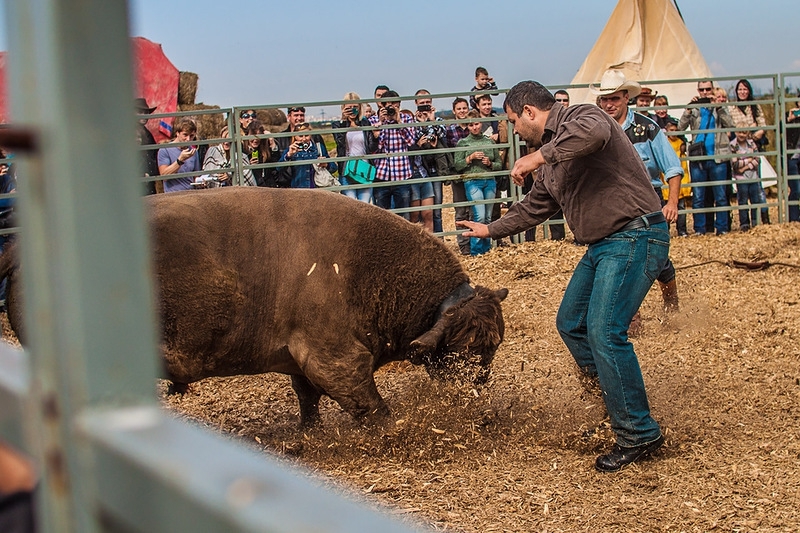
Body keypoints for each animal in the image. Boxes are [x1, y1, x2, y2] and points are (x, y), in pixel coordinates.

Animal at [1, 187, 506, 424]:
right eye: (464, 348)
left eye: (493, 347)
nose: (478, 393)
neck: (363, 265)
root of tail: (20, 246)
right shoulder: (334, 358)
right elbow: (370, 406)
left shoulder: (300, 361)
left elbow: (307, 400)